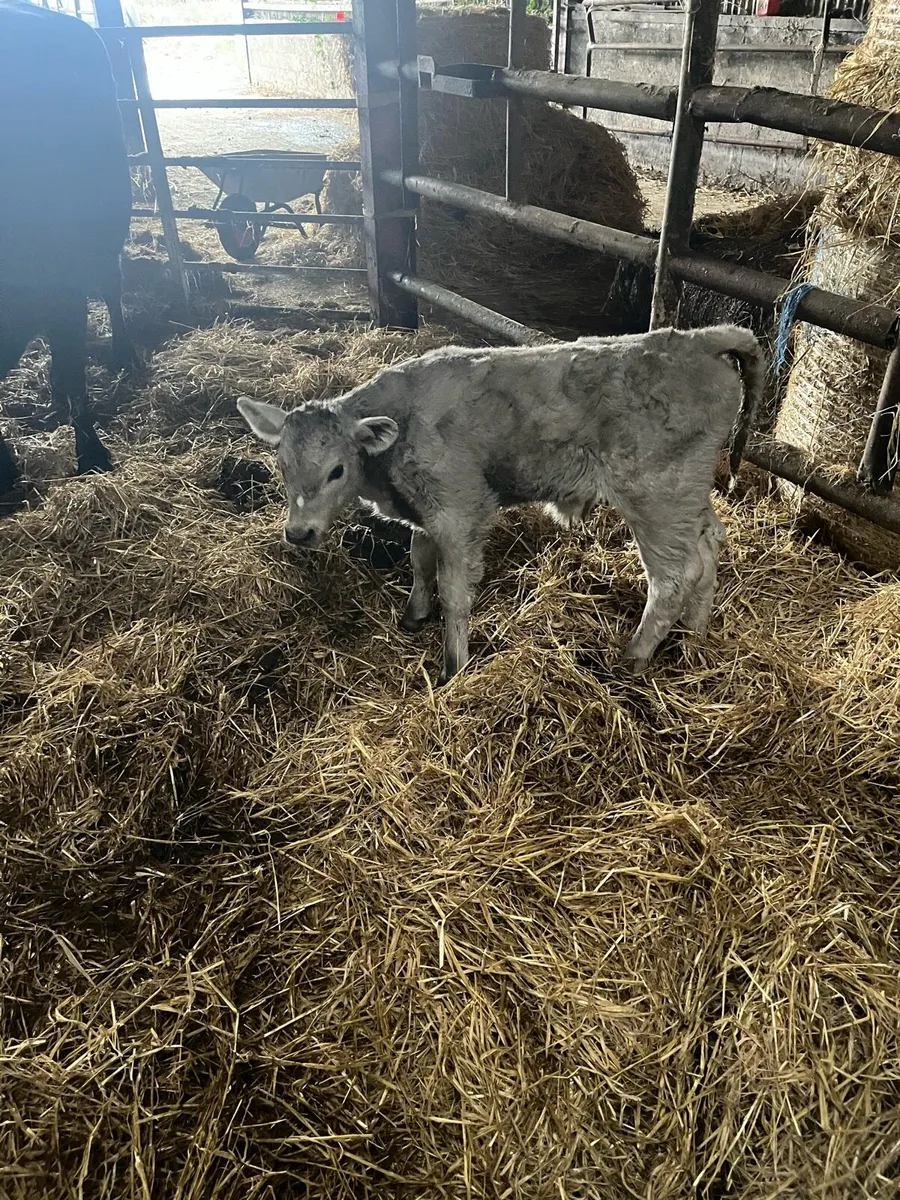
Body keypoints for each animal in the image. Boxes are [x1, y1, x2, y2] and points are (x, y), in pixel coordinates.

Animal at [237, 324, 765, 685]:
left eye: (336, 471)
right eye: (281, 464)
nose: (299, 533)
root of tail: (696, 338)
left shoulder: (459, 512)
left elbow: (454, 590)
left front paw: (453, 666)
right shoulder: (426, 515)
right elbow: (419, 561)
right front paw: (414, 614)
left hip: (656, 497)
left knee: (674, 576)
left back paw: (634, 655)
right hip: (687, 495)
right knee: (709, 547)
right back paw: (696, 636)